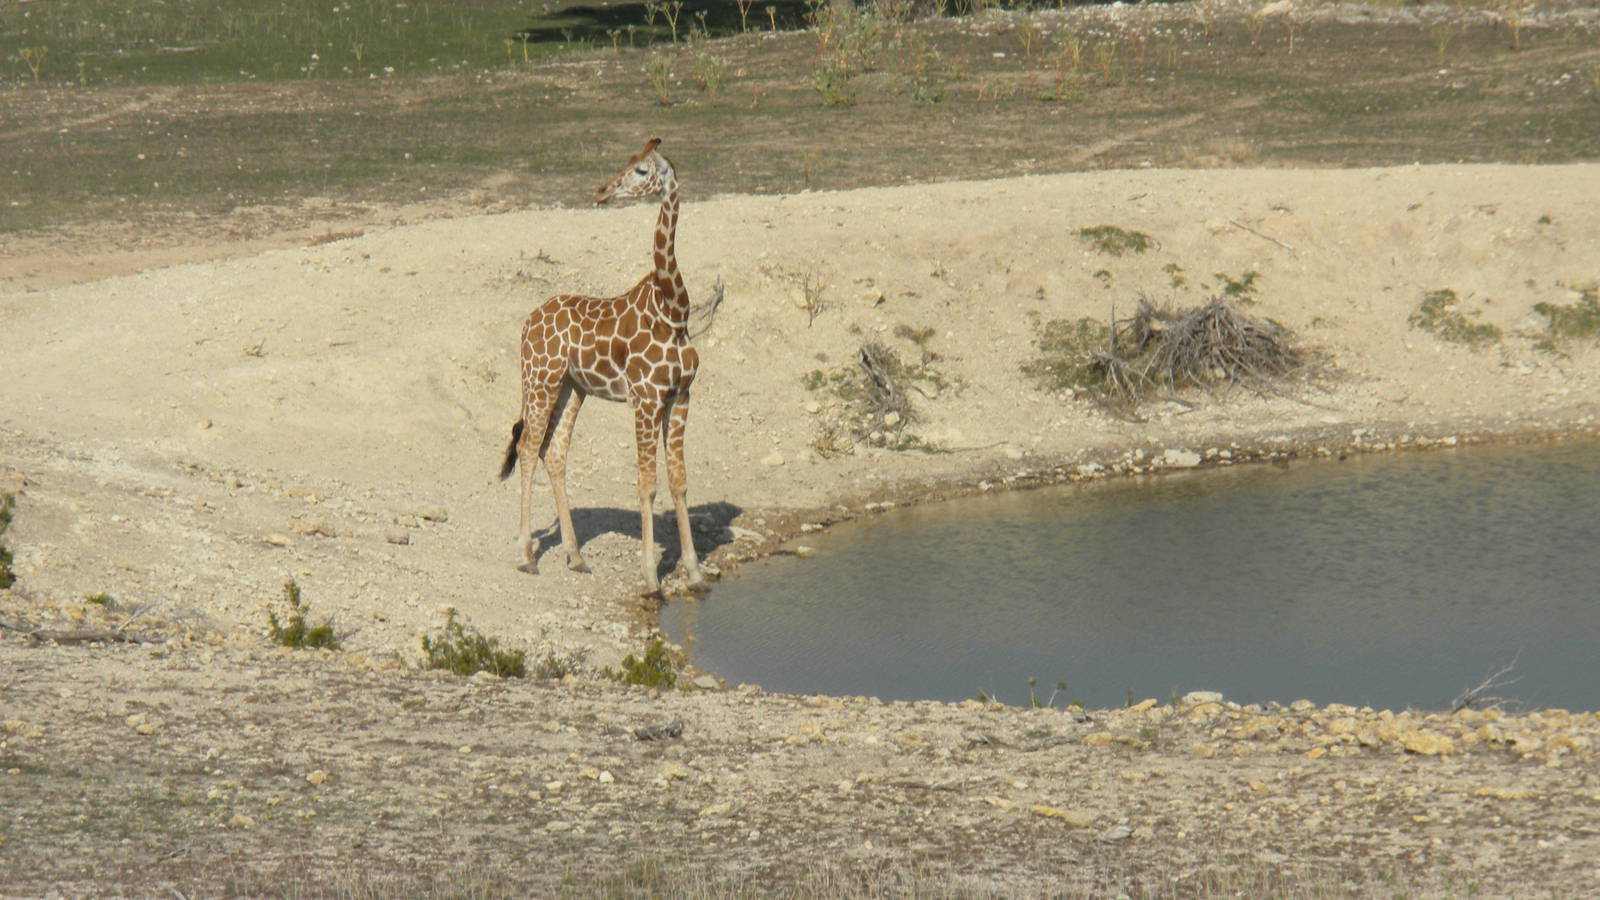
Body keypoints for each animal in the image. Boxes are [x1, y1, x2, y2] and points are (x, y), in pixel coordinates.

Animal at [499, 137, 704, 595]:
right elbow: (647, 486)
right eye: (629, 164)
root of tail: (527, 323)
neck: (675, 310)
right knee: (527, 447)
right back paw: (525, 556)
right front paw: (650, 577)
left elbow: (680, 482)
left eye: (642, 170)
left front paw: (695, 572)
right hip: (539, 379)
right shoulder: (645, 399)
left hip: (571, 387)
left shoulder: (680, 396)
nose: (602, 192)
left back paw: (576, 557)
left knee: (553, 452)